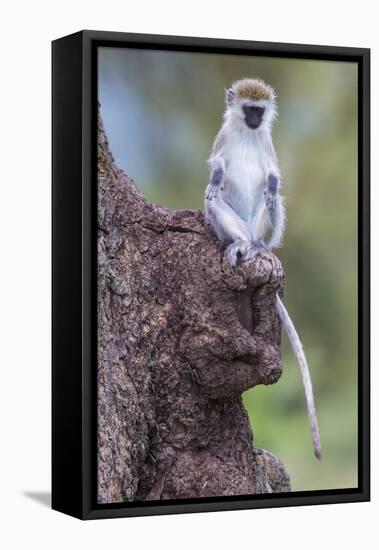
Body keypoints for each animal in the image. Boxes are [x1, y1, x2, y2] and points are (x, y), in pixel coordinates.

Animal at [206, 78, 322, 462]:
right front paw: (216, 176)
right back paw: (238, 244)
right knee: (214, 199)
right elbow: (217, 165)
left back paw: (257, 246)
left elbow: (273, 173)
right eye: (248, 110)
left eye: (260, 111)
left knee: (272, 203)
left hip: (265, 227)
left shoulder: (267, 145)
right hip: (230, 223)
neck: (246, 132)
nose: (256, 120)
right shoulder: (224, 136)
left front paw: (271, 184)